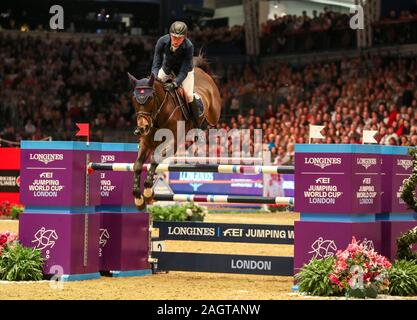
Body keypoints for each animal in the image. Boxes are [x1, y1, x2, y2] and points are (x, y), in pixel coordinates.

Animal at [128, 55, 223, 210]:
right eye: (134, 99)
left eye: (150, 98)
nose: (142, 128)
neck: (158, 116)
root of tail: (201, 72)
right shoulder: (145, 142)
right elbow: (137, 165)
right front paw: (138, 198)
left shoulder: (172, 142)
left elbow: (155, 159)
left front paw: (148, 192)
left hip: (213, 114)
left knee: (211, 125)